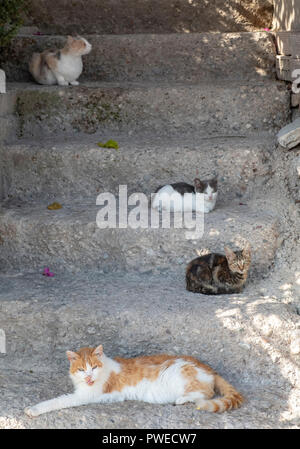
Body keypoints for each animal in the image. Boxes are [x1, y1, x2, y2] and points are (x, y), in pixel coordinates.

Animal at [24, 344, 244, 416]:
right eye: (81, 369)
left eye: (93, 367)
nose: (88, 376)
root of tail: (210, 369)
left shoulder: (83, 396)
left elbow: (56, 401)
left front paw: (33, 409)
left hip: (182, 373)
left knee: (206, 393)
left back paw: (183, 399)